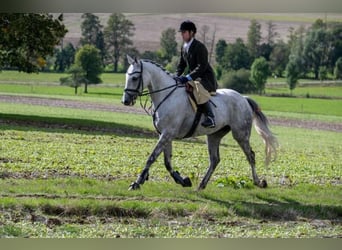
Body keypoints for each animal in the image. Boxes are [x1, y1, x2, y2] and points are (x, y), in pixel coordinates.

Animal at [121, 55, 276, 190]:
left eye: (134, 78)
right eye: (126, 77)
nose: (126, 101)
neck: (166, 96)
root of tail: (243, 98)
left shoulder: (167, 134)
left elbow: (152, 157)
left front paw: (137, 182)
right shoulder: (165, 135)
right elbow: (167, 162)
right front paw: (183, 181)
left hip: (240, 134)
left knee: (250, 156)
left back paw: (258, 182)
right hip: (214, 135)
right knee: (215, 160)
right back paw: (201, 184)